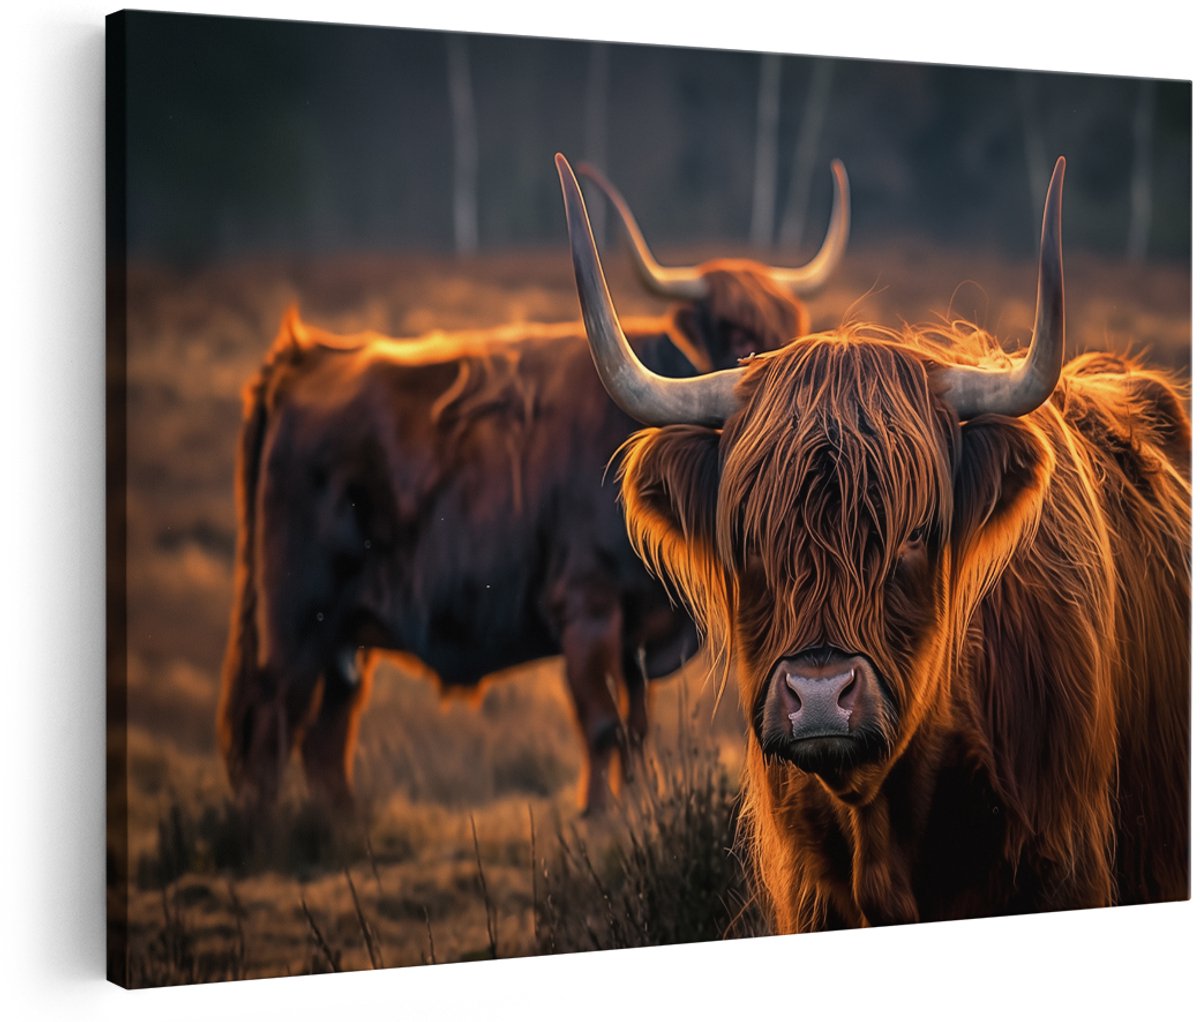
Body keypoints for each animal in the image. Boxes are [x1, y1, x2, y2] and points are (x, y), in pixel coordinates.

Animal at [216, 163, 851, 816]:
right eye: (735, 329)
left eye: (795, 326)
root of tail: (307, 359)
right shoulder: (587, 611)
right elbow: (603, 728)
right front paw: (600, 819)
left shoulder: (636, 639)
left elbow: (636, 732)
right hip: (296, 620)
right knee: (273, 723)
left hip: (348, 637)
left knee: (326, 738)